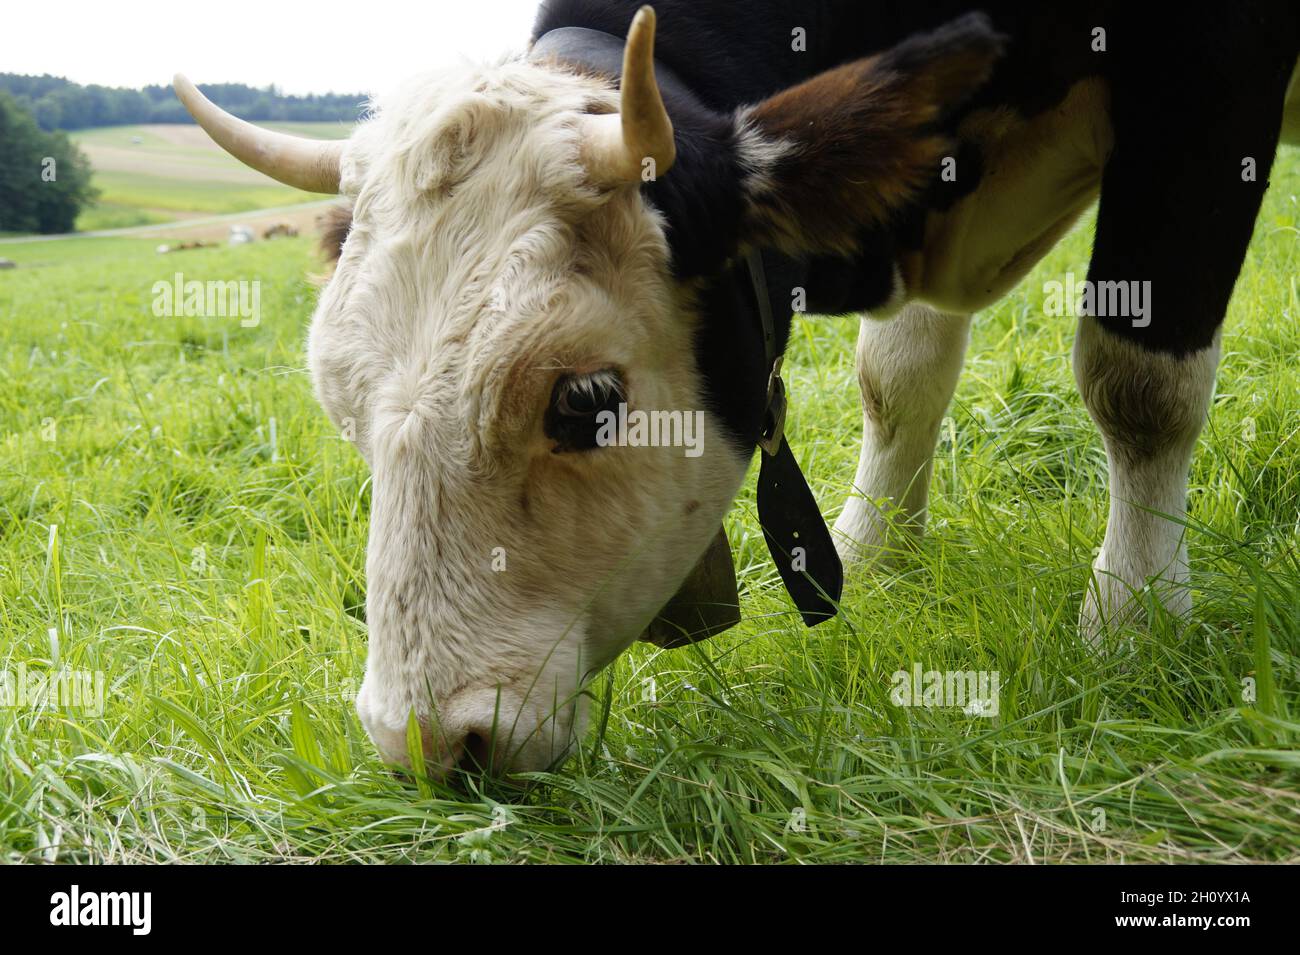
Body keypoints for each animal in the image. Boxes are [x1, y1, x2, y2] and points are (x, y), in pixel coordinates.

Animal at [173, 1, 1300, 779]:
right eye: (343, 405)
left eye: (584, 399)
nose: (425, 744)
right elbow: (898, 378)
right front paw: (878, 548)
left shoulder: (1210, 85)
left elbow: (1136, 381)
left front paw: (1137, 618)